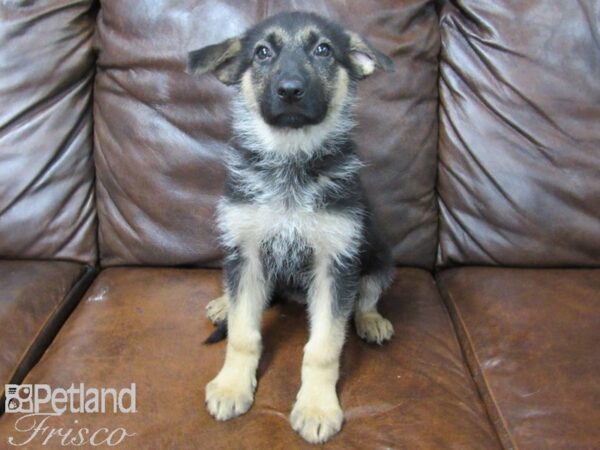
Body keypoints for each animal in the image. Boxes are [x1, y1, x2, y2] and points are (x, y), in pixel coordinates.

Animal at [186, 12, 394, 444]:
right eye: (262, 52)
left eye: (324, 50)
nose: (290, 91)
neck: (291, 160)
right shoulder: (246, 254)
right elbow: (243, 333)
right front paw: (232, 385)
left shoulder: (335, 265)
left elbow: (324, 347)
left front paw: (316, 407)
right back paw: (223, 304)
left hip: (380, 256)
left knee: (367, 294)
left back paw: (371, 320)